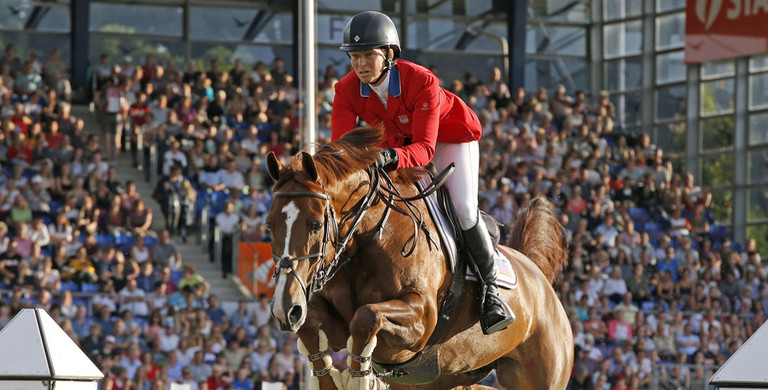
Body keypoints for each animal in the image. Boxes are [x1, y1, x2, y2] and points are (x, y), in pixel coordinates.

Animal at [268, 126, 572, 388]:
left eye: (316, 224)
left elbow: (365, 316)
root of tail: (537, 276)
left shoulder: (421, 320)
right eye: (269, 225)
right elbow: (311, 326)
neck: (366, 242)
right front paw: (329, 380)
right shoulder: (333, 322)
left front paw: (358, 379)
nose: (285, 310)